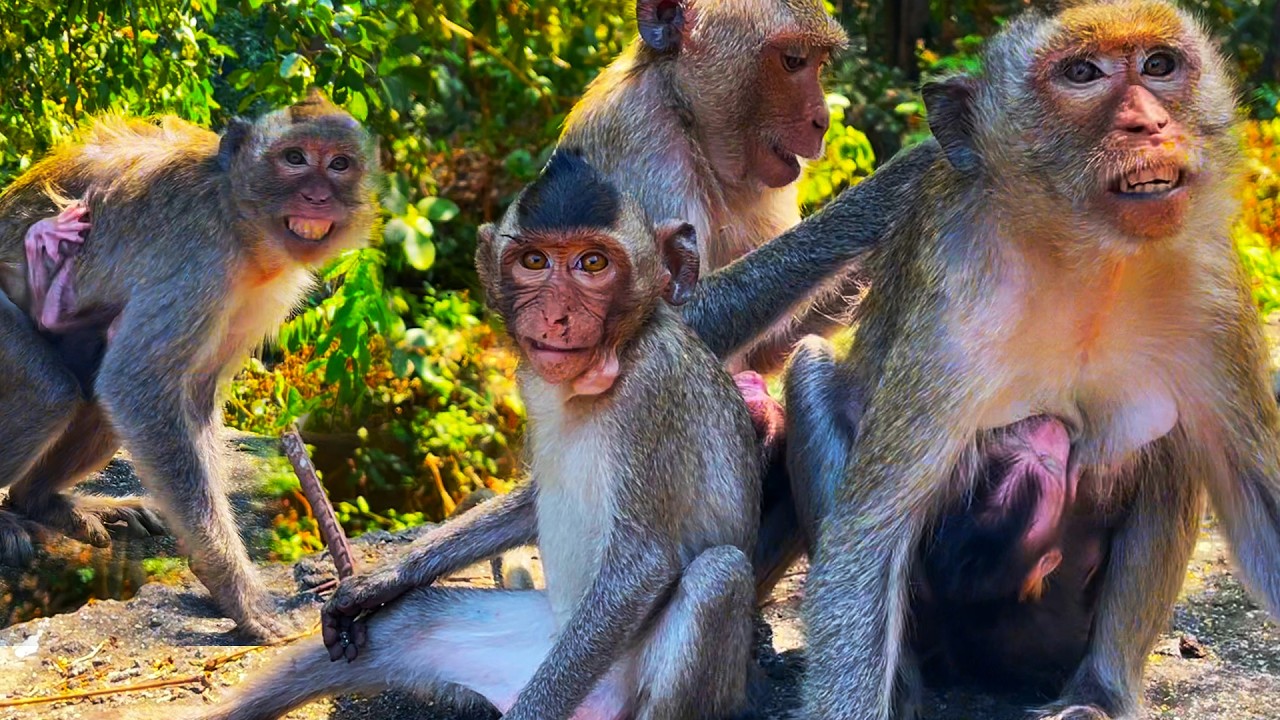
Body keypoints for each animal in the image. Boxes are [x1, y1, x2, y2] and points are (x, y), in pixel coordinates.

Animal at [0, 89, 378, 641]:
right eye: (294, 158)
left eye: (339, 164)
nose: (317, 196)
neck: (239, 218)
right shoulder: (199, 260)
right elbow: (137, 387)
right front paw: (236, 589)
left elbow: (192, 394)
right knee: (51, 392)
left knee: (94, 392)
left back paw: (41, 500)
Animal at [197, 149, 763, 720]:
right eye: (534, 262)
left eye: (593, 264)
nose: (556, 316)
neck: (610, 363)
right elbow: (528, 503)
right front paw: (375, 585)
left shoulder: (654, 390)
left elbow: (642, 566)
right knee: (405, 625)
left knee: (718, 575)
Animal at [779, 2, 1280, 718]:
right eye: (1082, 74)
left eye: (1159, 64)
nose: (1150, 123)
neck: (1091, 260)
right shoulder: (955, 298)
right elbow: (868, 534)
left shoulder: (1214, 290)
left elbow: (1263, 509)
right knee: (813, 370)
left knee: (1174, 438)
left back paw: (1100, 691)